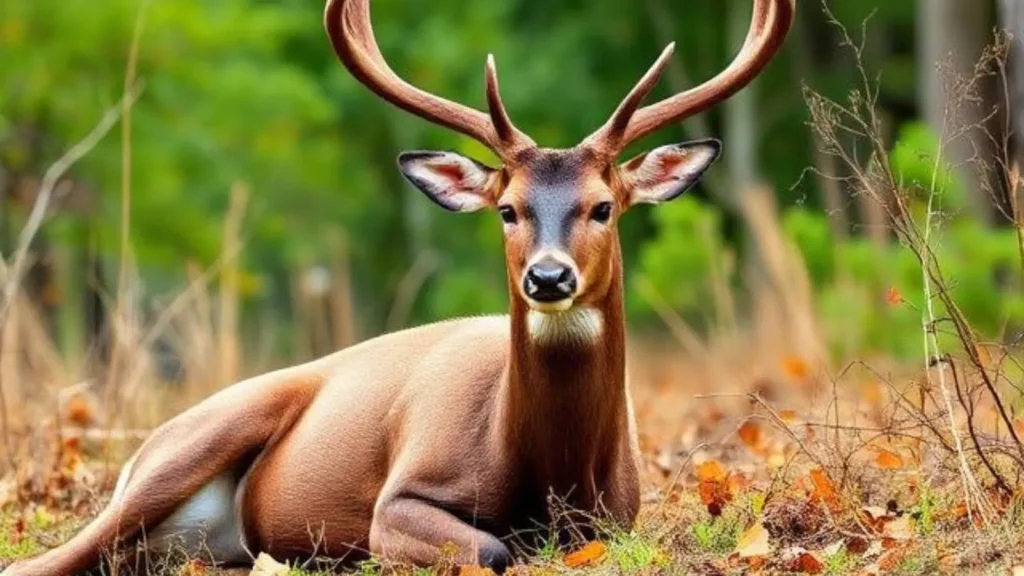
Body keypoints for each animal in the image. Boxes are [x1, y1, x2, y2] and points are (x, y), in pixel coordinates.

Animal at [2, 0, 793, 573]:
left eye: (603, 207)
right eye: (508, 209)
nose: (547, 275)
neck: (550, 470)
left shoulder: (621, 516)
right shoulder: (399, 495)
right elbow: (490, 547)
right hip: (195, 438)